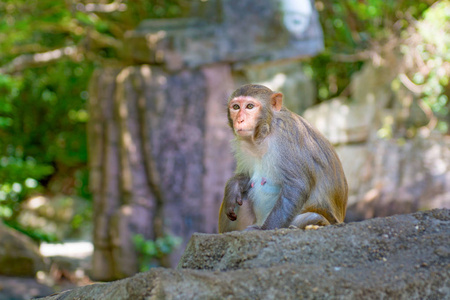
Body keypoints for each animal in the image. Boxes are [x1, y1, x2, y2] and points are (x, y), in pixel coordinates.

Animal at [218, 83, 348, 233]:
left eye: (250, 106)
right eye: (236, 107)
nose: (240, 120)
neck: (265, 133)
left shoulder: (287, 137)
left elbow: (296, 186)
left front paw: (264, 230)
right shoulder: (244, 146)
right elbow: (246, 176)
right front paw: (233, 186)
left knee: (313, 216)